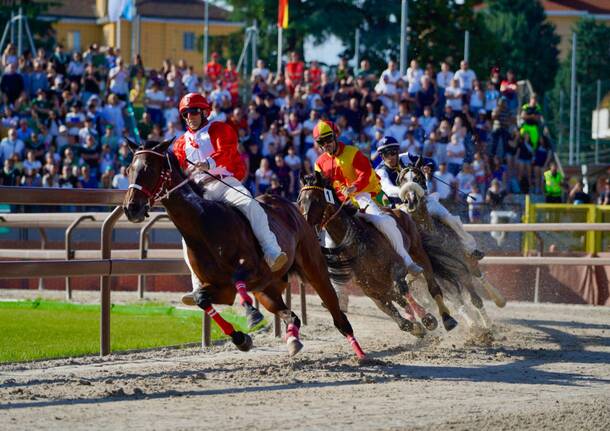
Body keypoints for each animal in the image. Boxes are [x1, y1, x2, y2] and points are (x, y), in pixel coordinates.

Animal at [121, 139, 364, 362]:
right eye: (129, 169)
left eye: (149, 169)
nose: (131, 208)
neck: (203, 225)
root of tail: (296, 210)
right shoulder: (221, 288)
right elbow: (201, 298)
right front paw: (241, 338)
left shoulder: (253, 270)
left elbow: (238, 278)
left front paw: (252, 314)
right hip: (267, 290)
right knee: (291, 316)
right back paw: (293, 340)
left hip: (314, 270)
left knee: (337, 315)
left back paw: (360, 352)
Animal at [296, 171, 458, 334]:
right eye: (300, 201)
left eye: (316, 200)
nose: (305, 226)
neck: (356, 244)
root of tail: (398, 210)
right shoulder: (371, 290)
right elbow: (399, 318)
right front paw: (417, 327)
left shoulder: (397, 268)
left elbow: (401, 288)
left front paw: (426, 320)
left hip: (417, 252)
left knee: (430, 285)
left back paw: (446, 318)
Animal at [396, 159, 506, 324]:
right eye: (403, 180)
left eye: (418, 178)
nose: (411, 201)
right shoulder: (440, 276)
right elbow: (459, 302)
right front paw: (475, 326)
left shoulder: (461, 269)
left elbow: (476, 299)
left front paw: (487, 325)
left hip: (467, 262)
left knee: (478, 275)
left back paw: (499, 300)